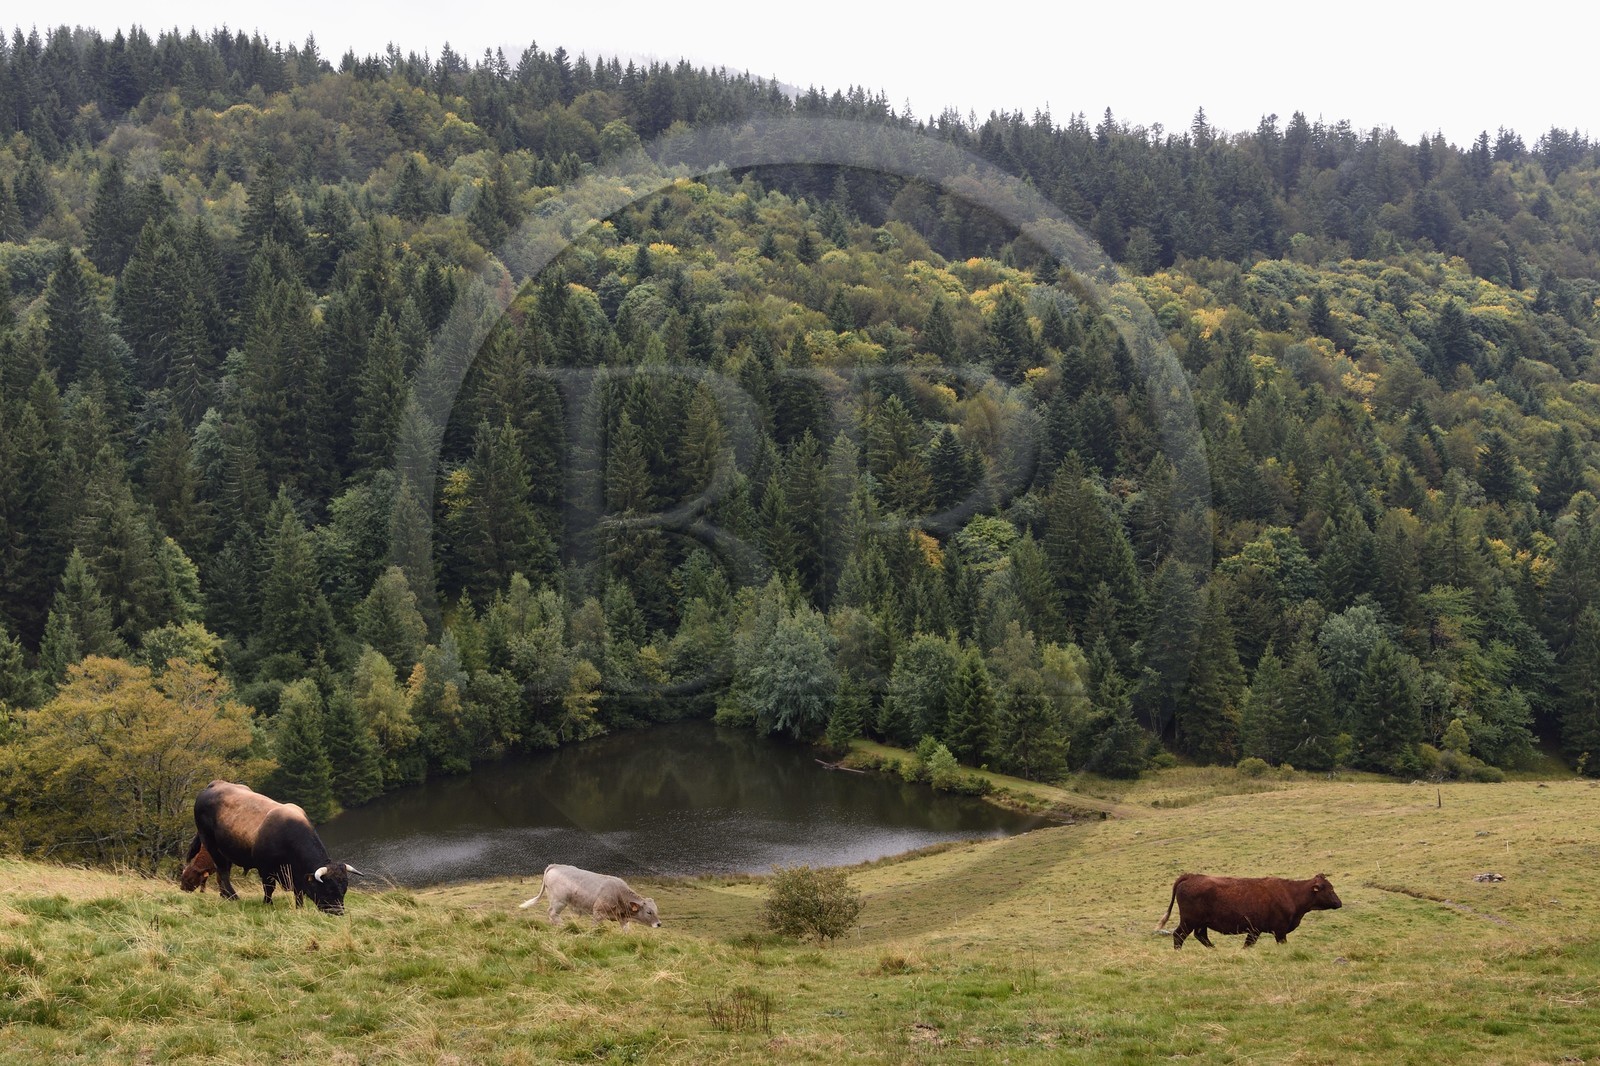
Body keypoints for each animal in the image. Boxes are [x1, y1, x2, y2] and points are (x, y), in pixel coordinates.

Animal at [193, 780, 362, 915]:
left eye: (344, 889)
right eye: (328, 889)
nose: (338, 912)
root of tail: (215, 784)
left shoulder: (296, 874)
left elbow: (298, 891)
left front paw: (299, 908)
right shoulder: (266, 868)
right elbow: (269, 888)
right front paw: (268, 904)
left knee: (222, 871)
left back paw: (225, 895)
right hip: (210, 844)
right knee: (223, 871)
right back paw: (233, 896)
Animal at [518, 864, 662, 929]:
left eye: (656, 910)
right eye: (649, 912)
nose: (659, 924)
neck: (619, 894)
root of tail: (555, 865)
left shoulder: (623, 918)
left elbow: (626, 931)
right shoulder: (598, 913)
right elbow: (594, 927)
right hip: (559, 901)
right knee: (552, 912)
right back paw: (562, 925)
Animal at [1160, 872, 1342, 949]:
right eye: (1330, 889)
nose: (1339, 903)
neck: (1291, 893)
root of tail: (1191, 876)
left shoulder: (1255, 930)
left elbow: (1248, 944)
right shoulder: (1279, 931)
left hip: (1200, 923)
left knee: (1201, 936)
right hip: (1189, 921)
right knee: (1178, 935)